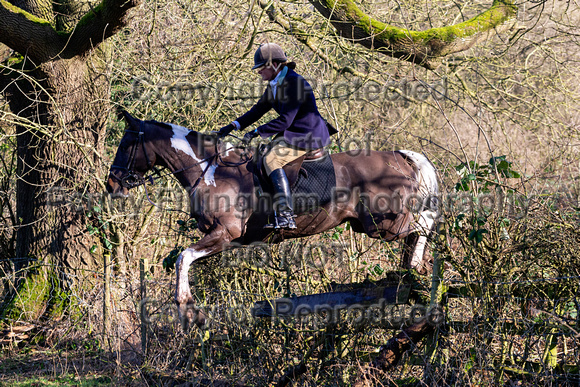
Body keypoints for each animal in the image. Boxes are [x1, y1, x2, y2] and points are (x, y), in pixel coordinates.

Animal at [106, 111, 438, 330]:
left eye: (126, 145)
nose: (112, 185)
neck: (210, 170)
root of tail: (399, 156)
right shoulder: (223, 238)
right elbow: (183, 259)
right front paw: (190, 309)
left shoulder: (225, 233)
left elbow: (183, 257)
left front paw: (189, 310)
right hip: (373, 224)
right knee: (416, 232)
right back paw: (409, 272)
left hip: (382, 224)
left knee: (422, 225)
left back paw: (417, 267)